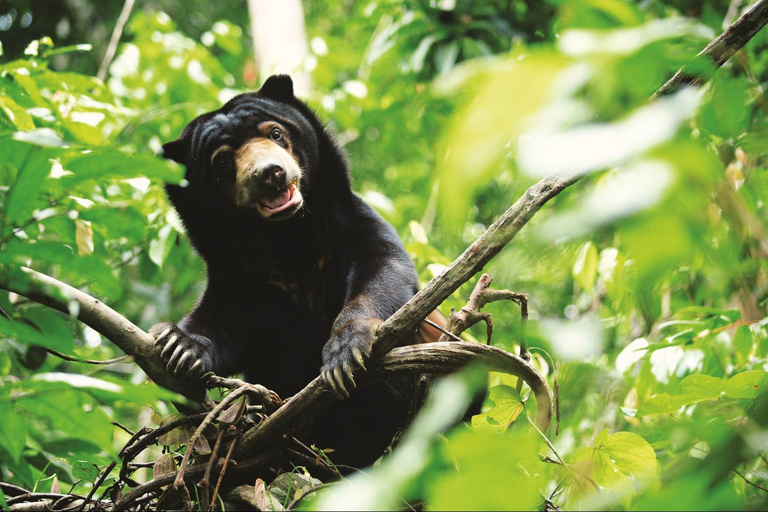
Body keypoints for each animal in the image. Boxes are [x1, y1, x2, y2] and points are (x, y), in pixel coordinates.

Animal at [150, 74, 430, 469]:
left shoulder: (353, 224)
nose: (270, 174)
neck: (288, 238)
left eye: (276, 133)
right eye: (222, 162)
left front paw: (344, 351)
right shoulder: (239, 276)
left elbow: (384, 269)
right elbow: (222, 321)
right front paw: (179, 346)